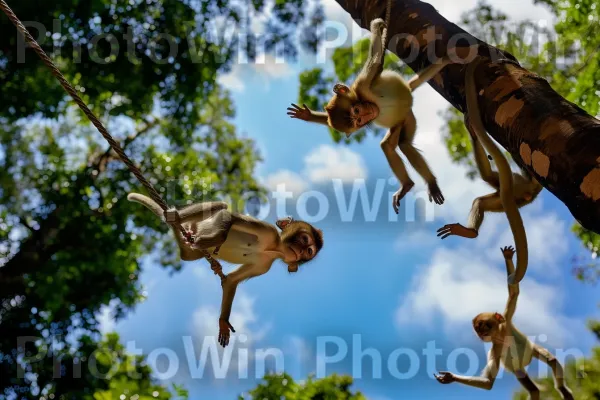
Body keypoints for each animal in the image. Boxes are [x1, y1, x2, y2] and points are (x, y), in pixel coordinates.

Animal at [127, 192, 324, 346]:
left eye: (309, 251)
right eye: (305, 240)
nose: (300, 252)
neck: (274, 248)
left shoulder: (264, 265)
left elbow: (230, 281)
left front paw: (223, 321)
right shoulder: (269, 231)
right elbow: (228, 216)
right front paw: (216, 238)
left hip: (190, 249)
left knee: (187, 254)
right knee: (222, 207)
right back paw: (174, 217)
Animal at [284, 18, 450, 212]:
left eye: (356, 112)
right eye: (357, 121)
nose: (364, 118)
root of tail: (408, 95)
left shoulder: (362, 85)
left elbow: (376, 60)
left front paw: (376, 25)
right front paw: (307, 114)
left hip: (406, 116)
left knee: (401, 145)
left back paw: (429, 183)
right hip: (404, 119)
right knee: (394, 145)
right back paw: (407, 185)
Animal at [434, 245, 576, 398]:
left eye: (485, 325)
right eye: (478, 329)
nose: (481, 333)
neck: (501, 336)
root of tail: (526, 363)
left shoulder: (506, 320)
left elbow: (514, 292)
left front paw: (507, 257)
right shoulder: (495, 349)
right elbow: (488, 383)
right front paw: (450, 377)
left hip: (531, 350)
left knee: (552, 361)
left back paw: (563, 390)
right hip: (518, 370)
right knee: (534, 389)